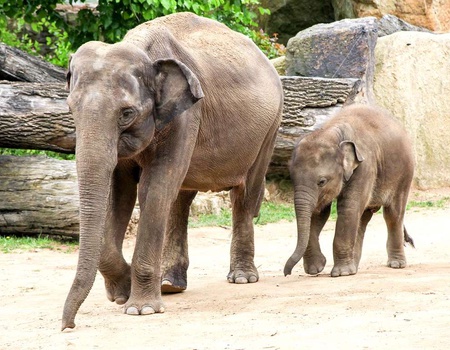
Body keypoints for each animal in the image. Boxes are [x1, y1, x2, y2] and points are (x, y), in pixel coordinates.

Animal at [61, 12, 284, 330]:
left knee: (244, 195)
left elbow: (153, 189)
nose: (68, 326)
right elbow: (119, 193)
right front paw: (123, 292)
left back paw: (241, 278)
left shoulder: (187, 115)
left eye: (126, 113)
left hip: (270, 127)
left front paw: (140, 308)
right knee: (180, 198)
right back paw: (169, 284)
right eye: (71, 109)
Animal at [284, 102, 414, 278]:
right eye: (292, 179)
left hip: (405, 173)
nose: (286, 273)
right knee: (363, 219)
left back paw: (396, 264)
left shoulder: (365, 165)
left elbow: (348, 208)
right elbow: (319, 213)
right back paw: (354, 267)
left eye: (322, 181)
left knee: (393, 214)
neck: (333, 132)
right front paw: (316, 268)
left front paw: (340, 273)